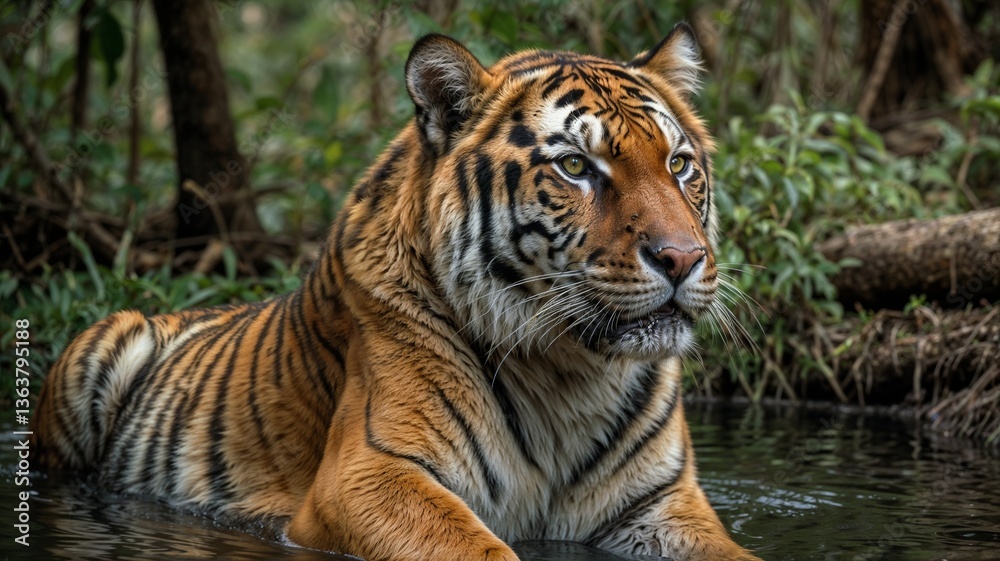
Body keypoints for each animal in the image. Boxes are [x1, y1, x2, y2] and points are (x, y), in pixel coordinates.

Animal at [33, 24, 761, 561]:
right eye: (577, 166)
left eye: (678, 164)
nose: (682, 258)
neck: (572, 371)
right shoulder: (371, 474)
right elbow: (481, 548)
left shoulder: (661, 502)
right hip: (99, 352)